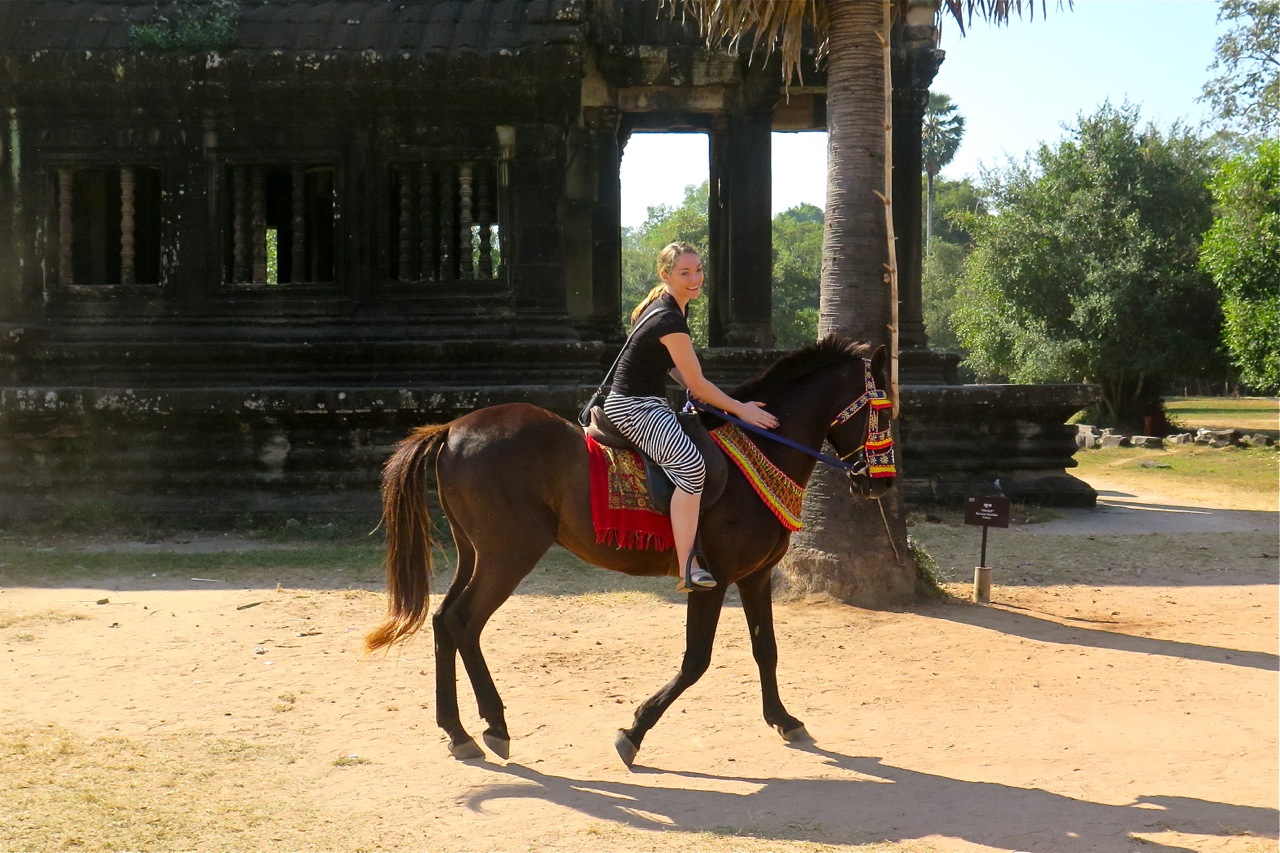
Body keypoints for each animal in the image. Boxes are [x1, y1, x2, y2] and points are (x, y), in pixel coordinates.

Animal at [366, 333, 896, 763]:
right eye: (884, 410)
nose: (880, 483)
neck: (757, 451)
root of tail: (452, 429)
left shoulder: (754, 576)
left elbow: (766, 648)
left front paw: (785, 719)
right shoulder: (712, 579)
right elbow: (696, 660)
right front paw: (635, 730)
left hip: (475, 553)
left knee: (443, 621)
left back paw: (457, 731)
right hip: (508, 555)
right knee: (463, 622)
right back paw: (492, 724)